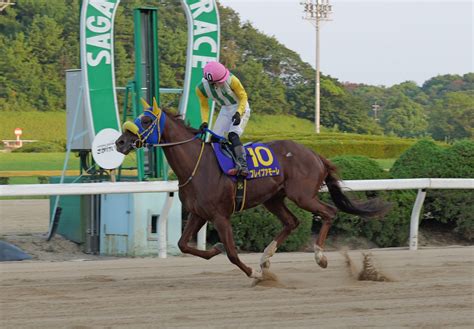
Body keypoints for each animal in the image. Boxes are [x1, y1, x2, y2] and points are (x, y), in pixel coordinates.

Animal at [115, 99, 388, 276]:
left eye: (146, 120)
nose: (120, 142)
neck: (196, 165)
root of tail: (316, 154)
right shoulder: (198, 213)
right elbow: (184, 244)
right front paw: (215, 249)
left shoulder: (220, 215)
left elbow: (232, 252)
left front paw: (252, 273)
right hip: (273, 198)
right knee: (292, 222)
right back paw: (266, 258)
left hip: (302, 195)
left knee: (329, 212)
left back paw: (319, 256)